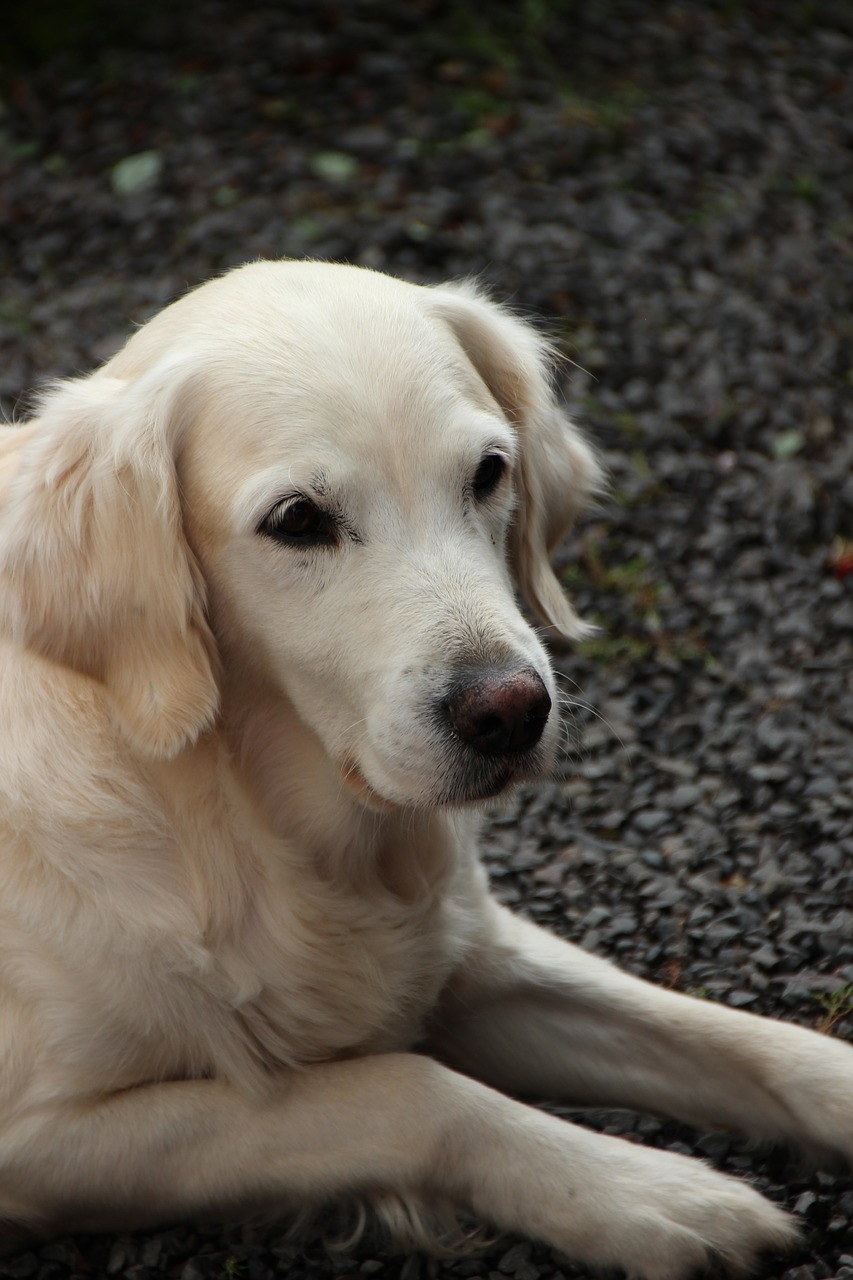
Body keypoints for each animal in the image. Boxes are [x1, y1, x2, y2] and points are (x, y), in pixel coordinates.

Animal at [0, 257, 845, 1269]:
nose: (510, 711)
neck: (250, 824)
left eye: (488, 473)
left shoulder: (469, 951)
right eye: (297, 520)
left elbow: (730, 1037)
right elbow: (411, 1089)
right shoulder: (44, 1139)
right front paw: (653, 1196)